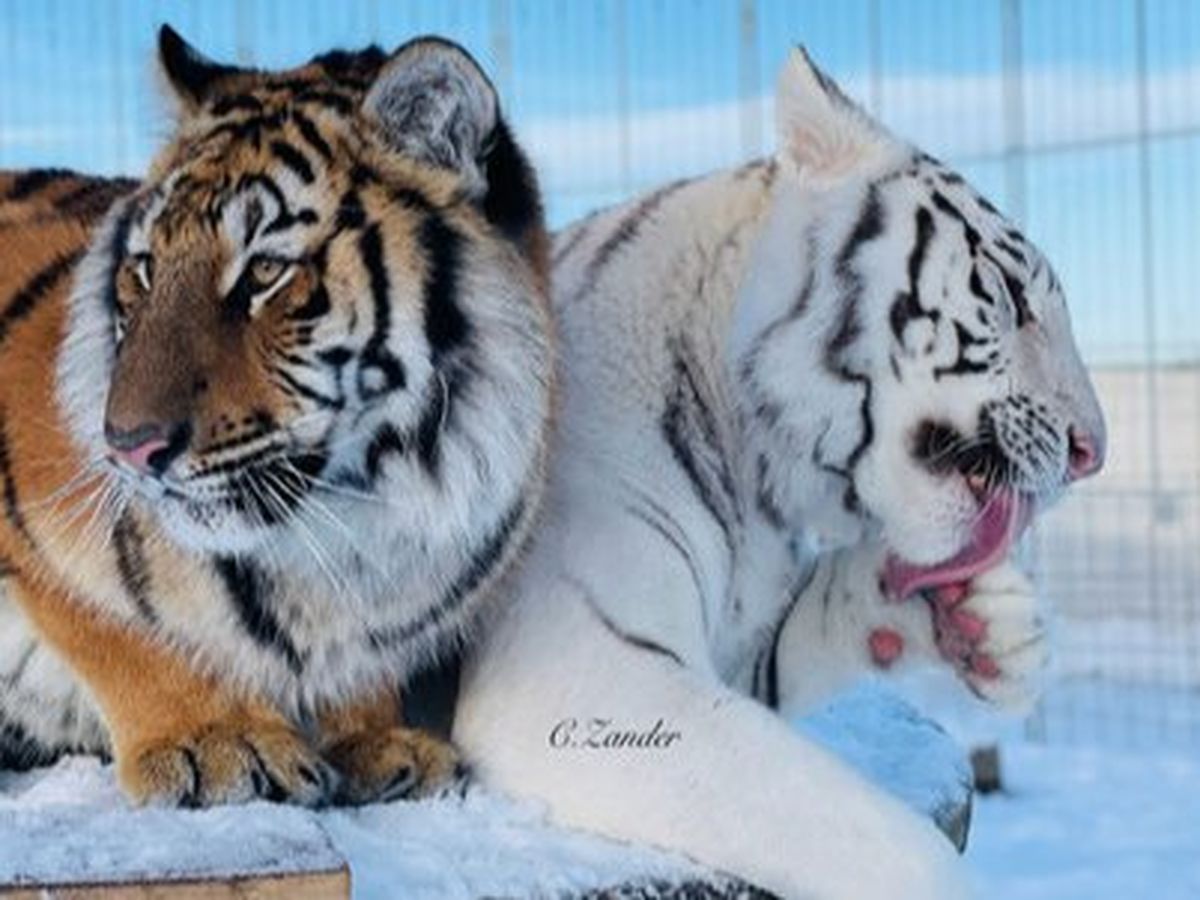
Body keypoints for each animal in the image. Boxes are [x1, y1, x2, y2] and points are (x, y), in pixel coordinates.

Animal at [0, 26, 554, 808]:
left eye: (265, 271)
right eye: (145, 268)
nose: (127, 447)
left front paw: (375, 740)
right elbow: (111, 621)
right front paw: (216, 741)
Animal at [453, 48, 1106, 898]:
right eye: (1010, 296)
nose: (1095, 449)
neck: (753, 470)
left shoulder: (732, 648)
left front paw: (990, 623)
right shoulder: (578, 668)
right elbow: (880, 837)